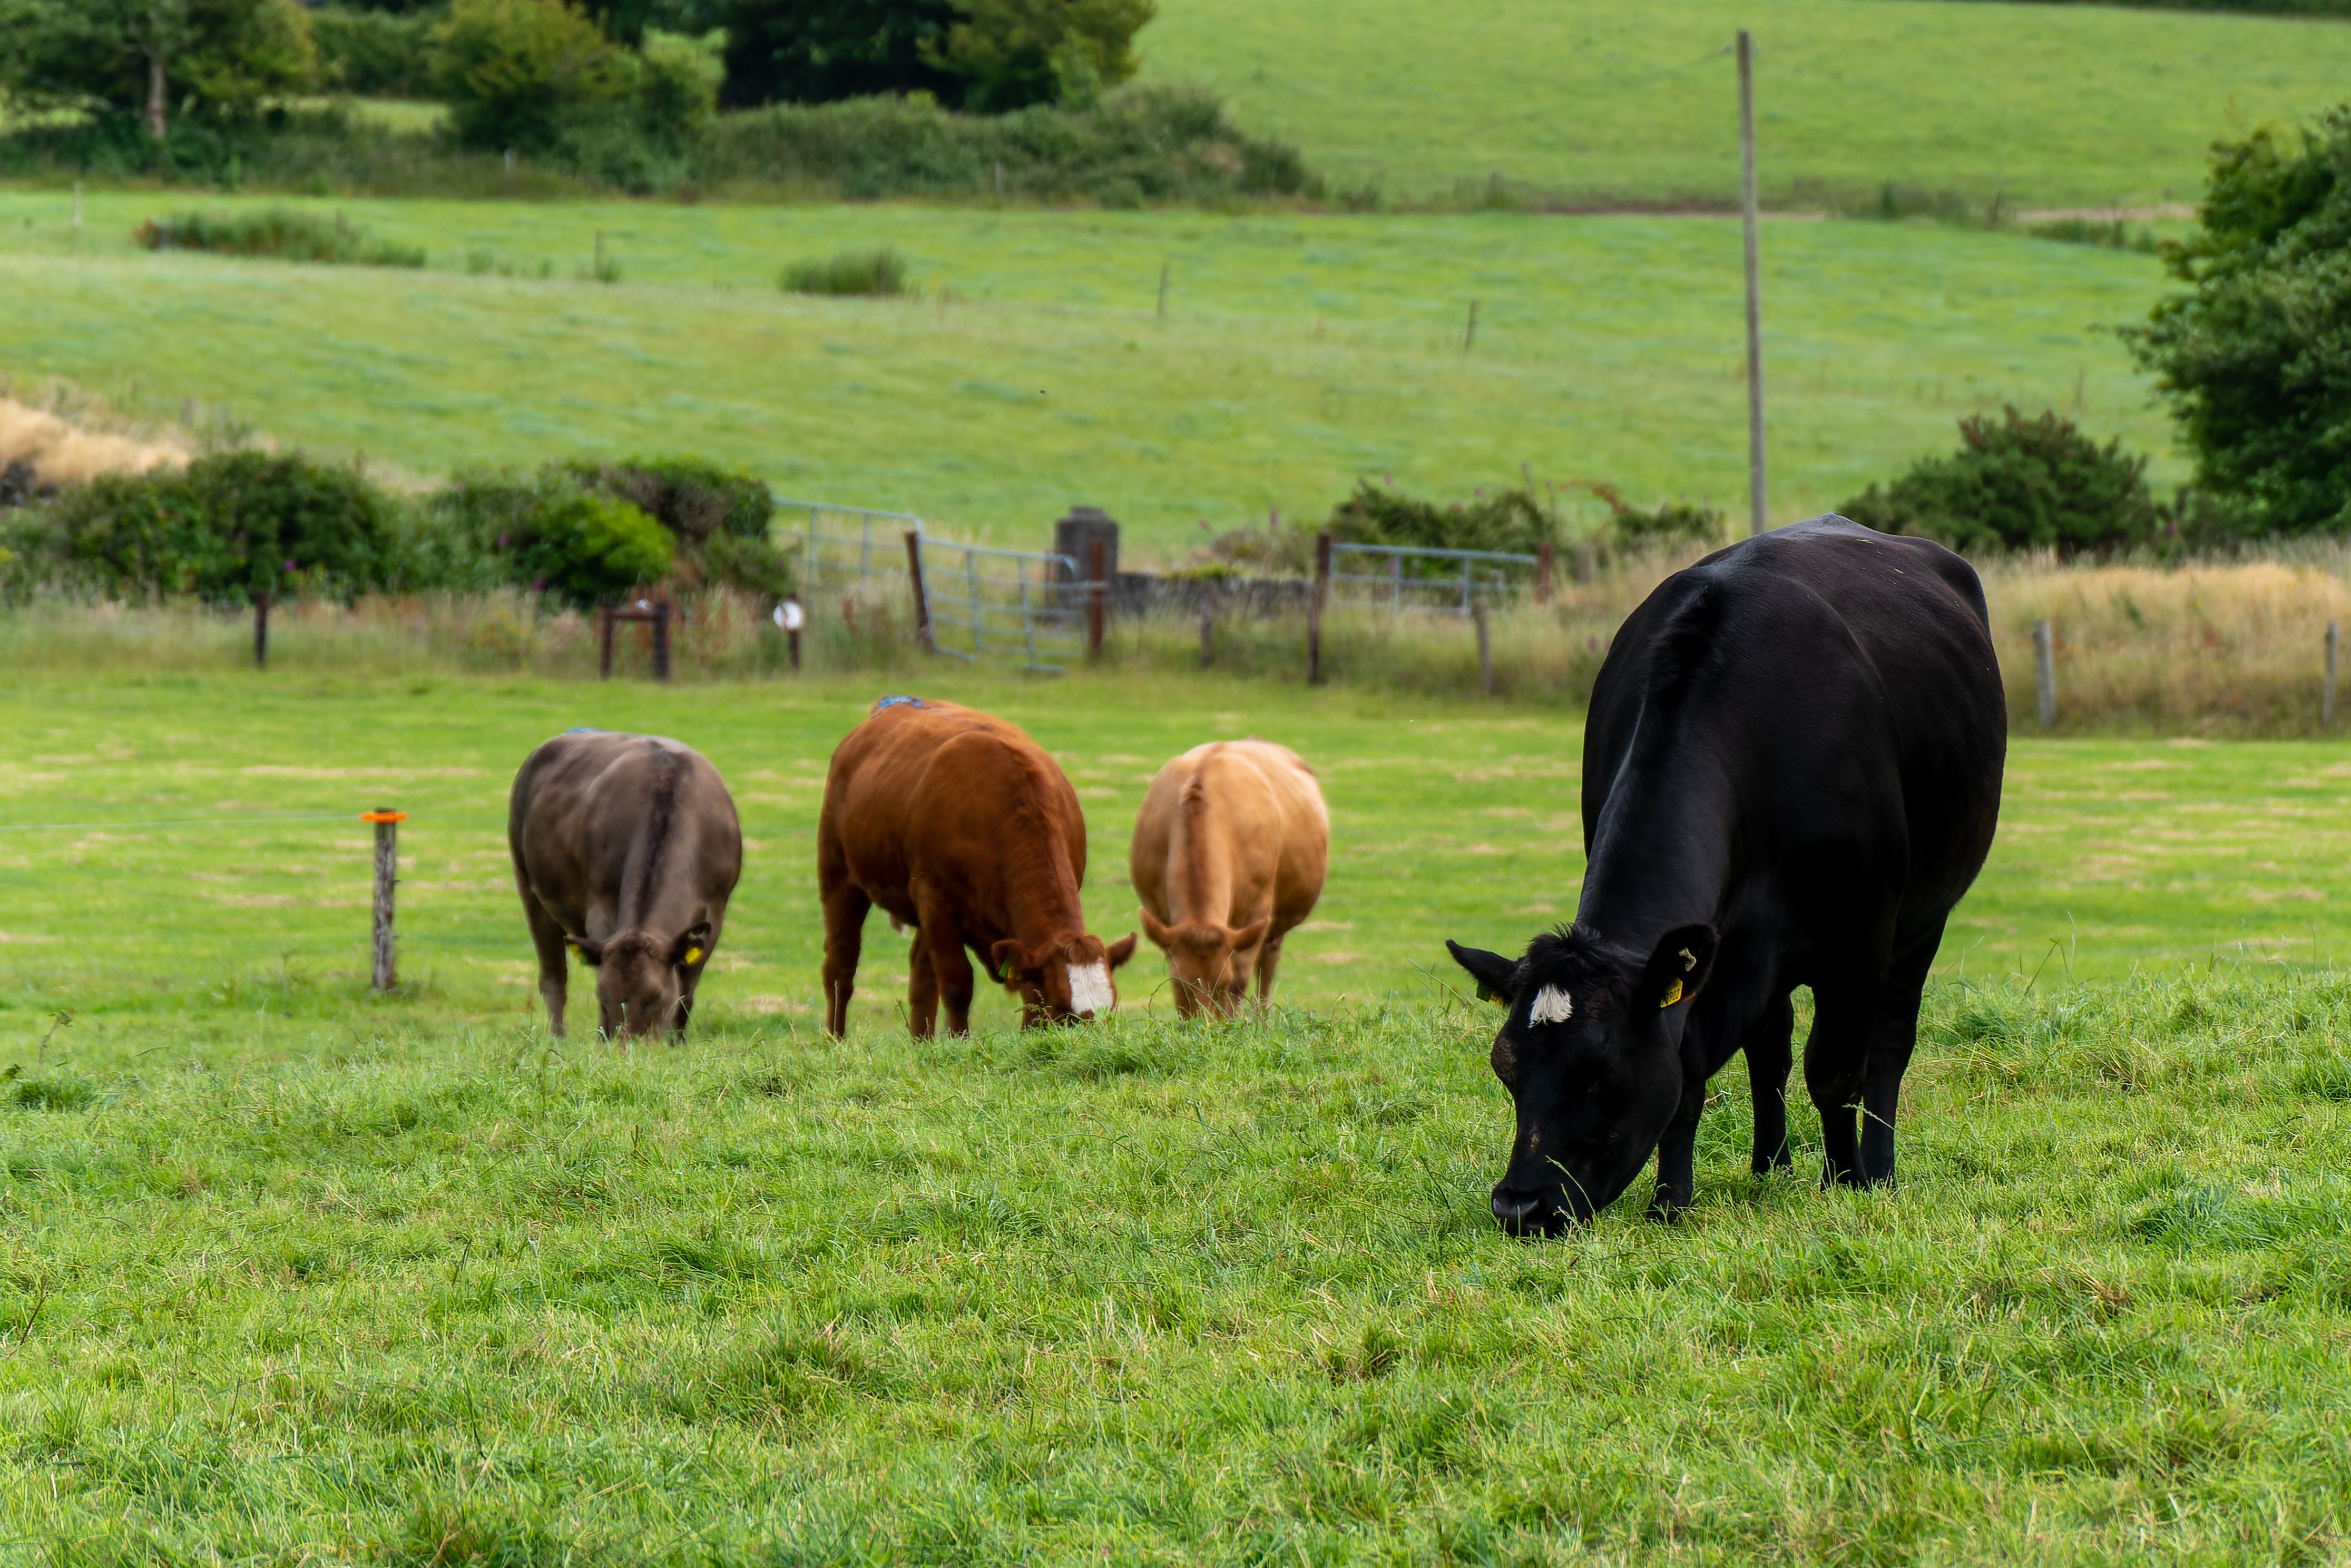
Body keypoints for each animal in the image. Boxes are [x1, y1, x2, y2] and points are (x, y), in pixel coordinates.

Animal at [508, 729, 742, 1041]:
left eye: (657, 996)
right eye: (605, 997)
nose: (630, 1045)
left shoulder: (715, 912)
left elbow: (687, 992)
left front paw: (677, 1042)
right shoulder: (600, 908)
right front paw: (602, 1039)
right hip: (528, 882)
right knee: (554, 978)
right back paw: (559, 1039)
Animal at [818, 697, 1136, 1037]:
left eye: (1110, 1013)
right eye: (1061, 1009)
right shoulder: (935, 901)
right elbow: (957, 985)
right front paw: (961, 1042)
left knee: (921, 977)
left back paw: (922, 1043)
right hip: (839, 875)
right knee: (841, 967)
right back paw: (836, 1040)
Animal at [1130, 740, 1328, 1016]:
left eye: (1223, 984)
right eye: (1180, 986)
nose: (1202, 1025)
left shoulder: (1257, 911)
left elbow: (1242, 977)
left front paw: (1233, 1022)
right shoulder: (1160, 914)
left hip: (1275, 924)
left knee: (1267, 966)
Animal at [1446, 516, 2006, 1235]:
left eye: (1599, 1072)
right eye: (1505, 1069)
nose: (1519, 1204)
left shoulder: (1859, 942)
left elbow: (1835, 1072)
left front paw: (1845, 1180)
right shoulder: (1715, 957)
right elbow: (1690, 1080)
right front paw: (1670, 1200)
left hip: (1921, 919)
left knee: (1889, 1042)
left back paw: (1877, 1168)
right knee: (1772, 1050)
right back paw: (1770, 1166)